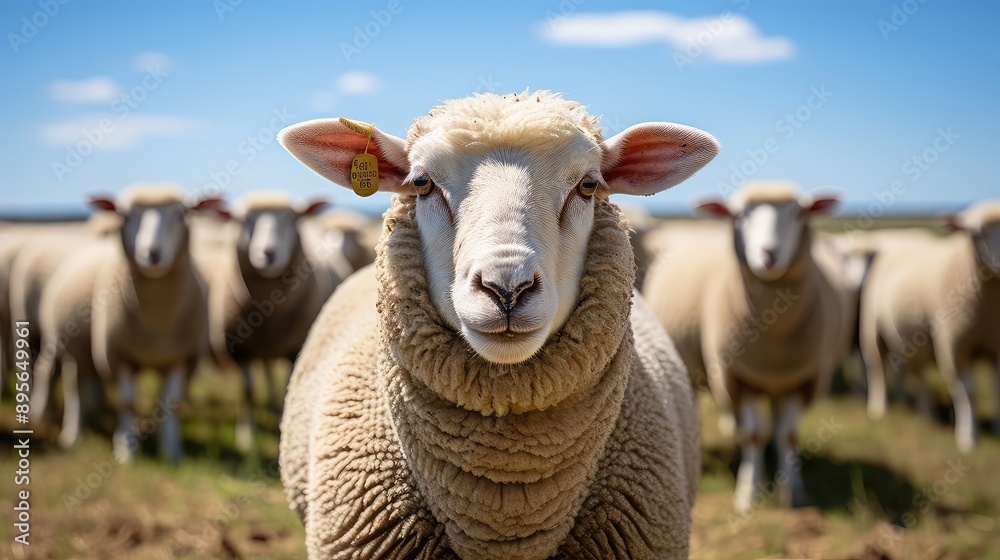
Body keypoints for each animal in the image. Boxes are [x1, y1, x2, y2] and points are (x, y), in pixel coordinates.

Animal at [88, 184, 219, 463]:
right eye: (125, 215)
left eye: (182, 214)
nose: (152, 253)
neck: (156, 324)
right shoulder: (118, 355)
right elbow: (127, 403)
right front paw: (126, 451)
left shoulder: (180, 358)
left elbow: (171, 404)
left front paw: (172, 452)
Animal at [207, 191, 331, 451]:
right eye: (242, 220)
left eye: (292, 218)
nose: (268, 253)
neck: (269, 313)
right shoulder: (240, 349)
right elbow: (248, 392)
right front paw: (246, 438)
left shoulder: (295, 348)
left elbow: (289, 387)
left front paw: (284, 426)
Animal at [643, 182, 845, 514]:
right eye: (739, 215)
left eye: (799, 213)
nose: (769, 254)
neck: (775, 333)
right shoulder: (736, 377)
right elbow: (752, 435)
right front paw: (747, 495)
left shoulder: (803, 378)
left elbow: (788, 435)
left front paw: (793, 493)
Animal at [860, 202, 1000, 452]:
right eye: (975, 233)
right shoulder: (953, 345)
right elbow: (968, 393)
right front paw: (968, 438)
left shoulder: (996, 344)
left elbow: (997, 390)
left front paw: (997, 430)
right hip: (871, 326)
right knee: (876, 366)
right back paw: (878, 407)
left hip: (913, 339)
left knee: (919, 375)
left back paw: (926, 414)